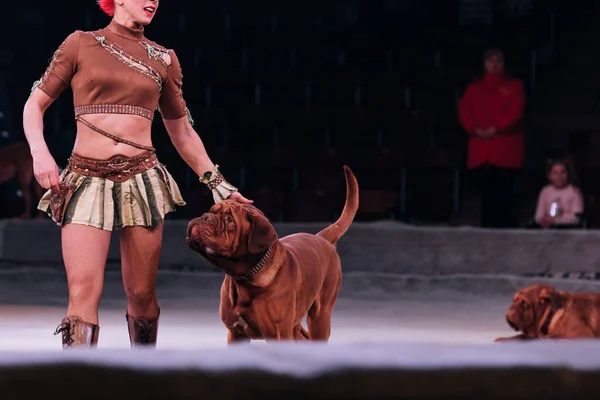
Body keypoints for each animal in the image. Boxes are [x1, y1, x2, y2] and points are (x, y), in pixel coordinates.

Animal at [185, 166, 358, 344]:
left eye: (230, 220)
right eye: (211, 211)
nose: (205, 217)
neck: (245, 276)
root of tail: (321, 238)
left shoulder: (278, 334)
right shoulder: (236, 333)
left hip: (319, 317)